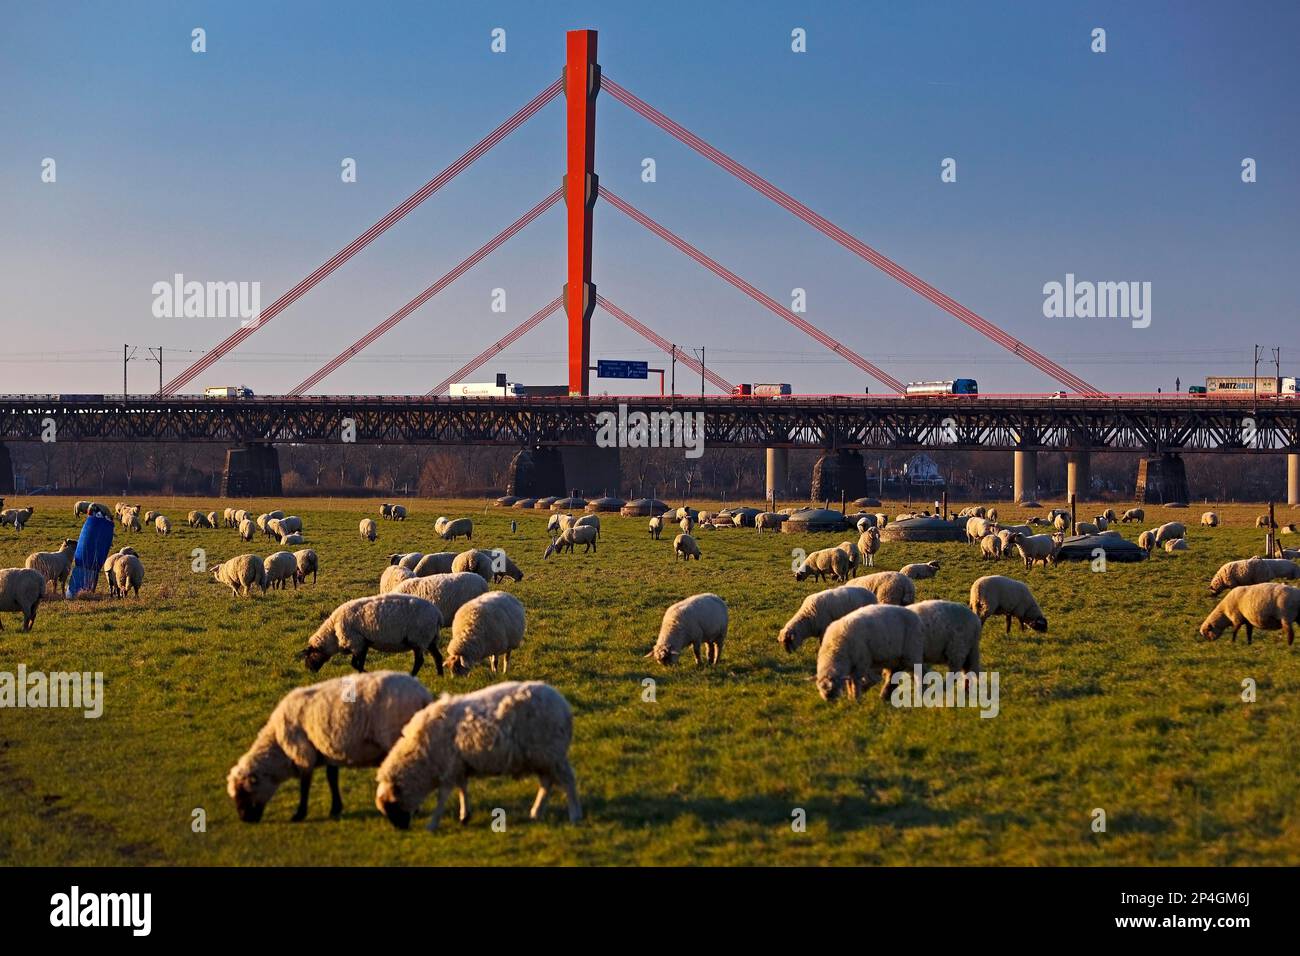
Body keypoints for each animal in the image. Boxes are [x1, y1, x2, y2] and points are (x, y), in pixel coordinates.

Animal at [227, 671, 431, 822]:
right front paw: (335, 808)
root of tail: (423, 694)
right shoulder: (328, 748)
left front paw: (299, 814)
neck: (278, 747)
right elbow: (332, 777)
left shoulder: (303, 752)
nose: (245, 819)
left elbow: (305, 784)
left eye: (243, 792)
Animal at [301, 595, 444, 676]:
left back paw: (412, 675)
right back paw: (440, 676)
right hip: (430, 639)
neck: (333, 635)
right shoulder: (363, 643)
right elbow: (359, 663)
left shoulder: (356, 642)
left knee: (419, 661)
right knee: (437, 657)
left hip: (419, 639)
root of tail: (437, 614)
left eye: (308, 655)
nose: (308, 671)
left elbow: (356, 664)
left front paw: (367, 674)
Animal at [374, 681, 582, 832]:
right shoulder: (459, 765)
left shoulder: (448, 767)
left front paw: (432, 824)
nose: (401, 829)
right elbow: (462, 788)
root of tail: (564, 707)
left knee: (568, 781)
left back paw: (574, 815)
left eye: (391, 807)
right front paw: (465, 815)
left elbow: (442, 797)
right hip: (541, 757)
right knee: (547, 783)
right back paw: (536, 812)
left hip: (551, 754)